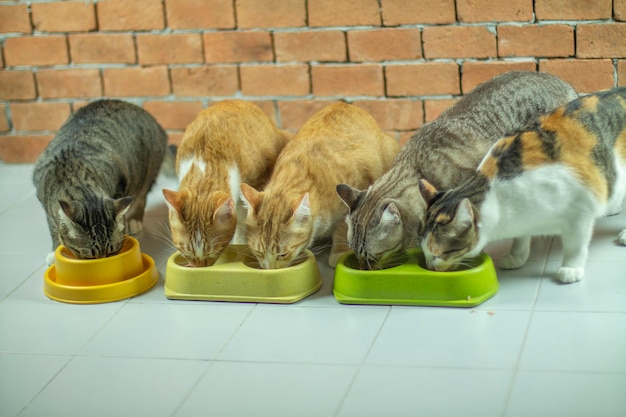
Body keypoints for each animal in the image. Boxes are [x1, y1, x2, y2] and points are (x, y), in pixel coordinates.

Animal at [32, 98, 167, 264]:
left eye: (112, 251)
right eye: (88, 257)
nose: (103, 261)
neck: (74, 174)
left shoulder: (120, 183)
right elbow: (53, 227)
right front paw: (54, 250)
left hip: (147, 171)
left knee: (141, 196)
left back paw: (134, 220)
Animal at [416, 87, 626, 282]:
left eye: (443, 253)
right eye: (423, 250)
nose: (430, 267)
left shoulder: (580, 210)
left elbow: (576, 244)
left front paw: (571, 268)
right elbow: (520, 237)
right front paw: (516, 256)